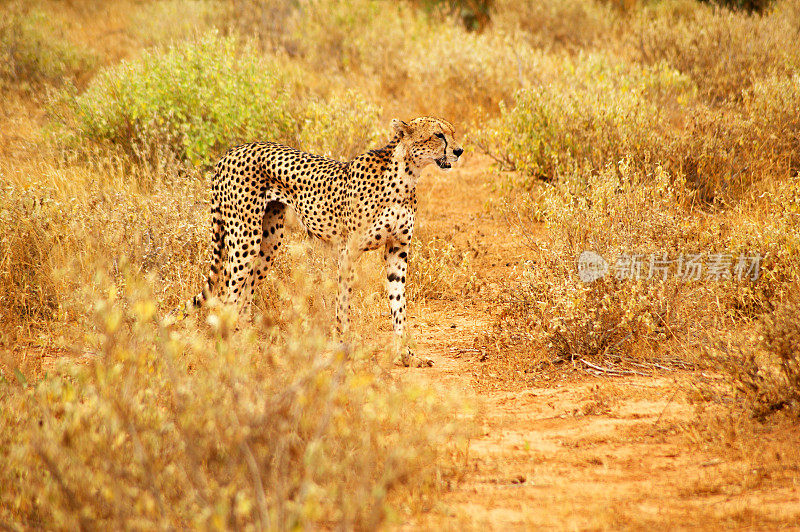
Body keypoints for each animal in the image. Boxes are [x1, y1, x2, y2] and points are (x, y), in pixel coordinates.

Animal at [185, 116, 462, 366]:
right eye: (438, 135)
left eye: (453, 132)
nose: (458, 151)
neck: (405, 175)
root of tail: (232, 150)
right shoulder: (349, 250)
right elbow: (343, 303)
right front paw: (345, 348)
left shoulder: (397, 250)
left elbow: (399, 304)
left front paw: (406, 354)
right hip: (245, 239)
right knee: (227, 294)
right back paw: (227, 349)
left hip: (268, 243)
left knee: (244, 292)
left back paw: (244, 343)